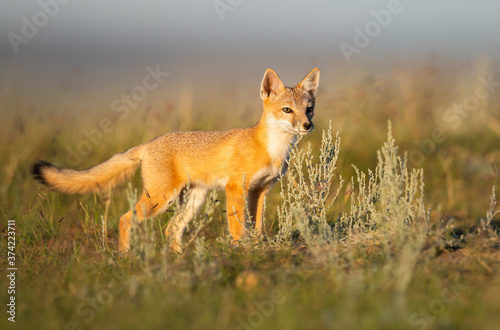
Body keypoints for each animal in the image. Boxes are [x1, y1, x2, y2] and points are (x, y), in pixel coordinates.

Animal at [32, 67, 320, 253]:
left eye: (308, 109)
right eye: (287, 110)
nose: (307, 126)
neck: (271, 149)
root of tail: (150, 143)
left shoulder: (260, 190)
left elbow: (257, 227)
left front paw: (258, 247)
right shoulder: (236, 189)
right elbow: (238, 229)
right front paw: (241, 252)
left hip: (192, 200)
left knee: (172, 228)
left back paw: (179, 261)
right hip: (161, 198)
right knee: (126, 219)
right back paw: (125, 259)